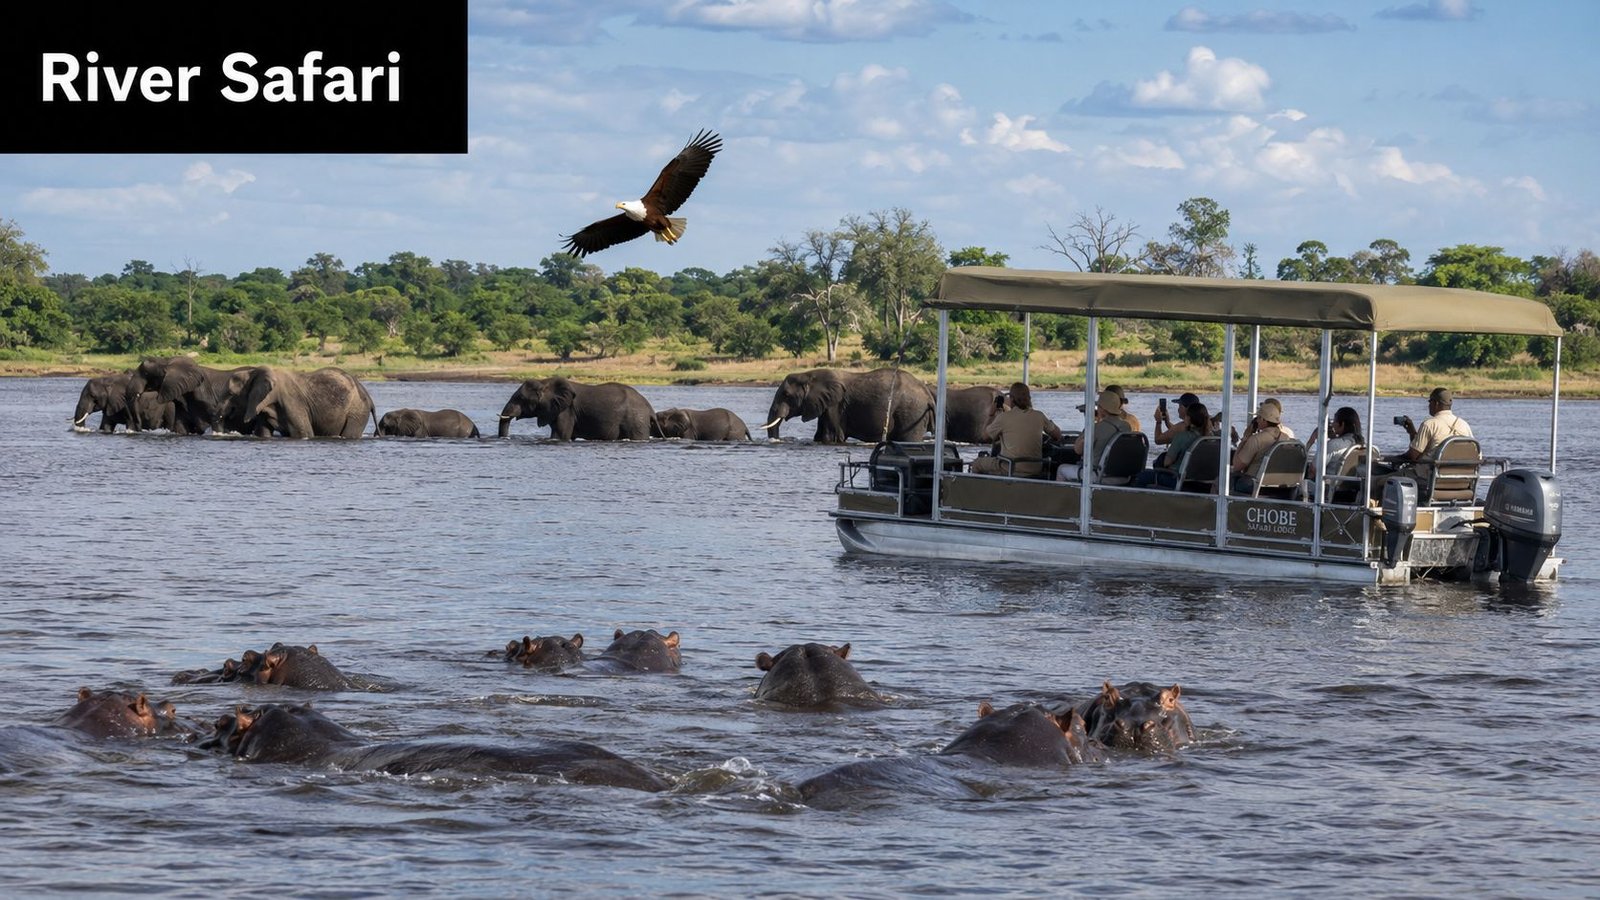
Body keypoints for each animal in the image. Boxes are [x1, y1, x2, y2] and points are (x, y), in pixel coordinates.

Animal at [222, 366, 376, 439]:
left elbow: (304, 432)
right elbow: (263, 432)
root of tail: (368, 397)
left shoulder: (293, 402)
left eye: (231, 394)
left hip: (357, 412)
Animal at [497, 377, 654, 440]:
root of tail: (649, 408)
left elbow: (560, 435)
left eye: (521, 399)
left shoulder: (567, 411)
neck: (544, 383)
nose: (506, 438)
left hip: (636, 421)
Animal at [763, 368, 934, 444]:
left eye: (786, 395)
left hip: (912, 412)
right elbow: (819, 436)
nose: (776, 441)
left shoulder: (835, 405)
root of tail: (928, 396)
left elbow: (831, 436)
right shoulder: (825, 405)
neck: (808, 374)